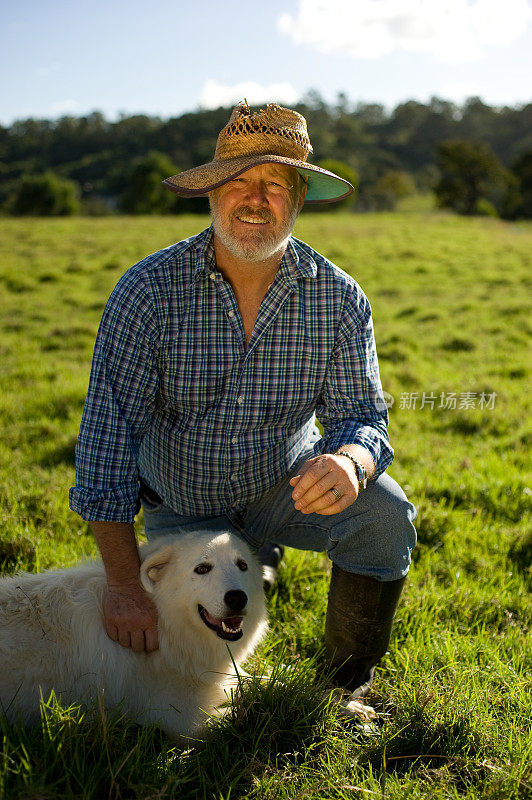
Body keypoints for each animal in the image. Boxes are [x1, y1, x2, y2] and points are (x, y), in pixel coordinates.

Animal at [0, 536, 266, 740]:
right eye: (202, 569)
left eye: (242, 565)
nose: (237, 598)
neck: (162, 620)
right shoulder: (184, 721)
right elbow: (245, 711)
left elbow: (258, 682)